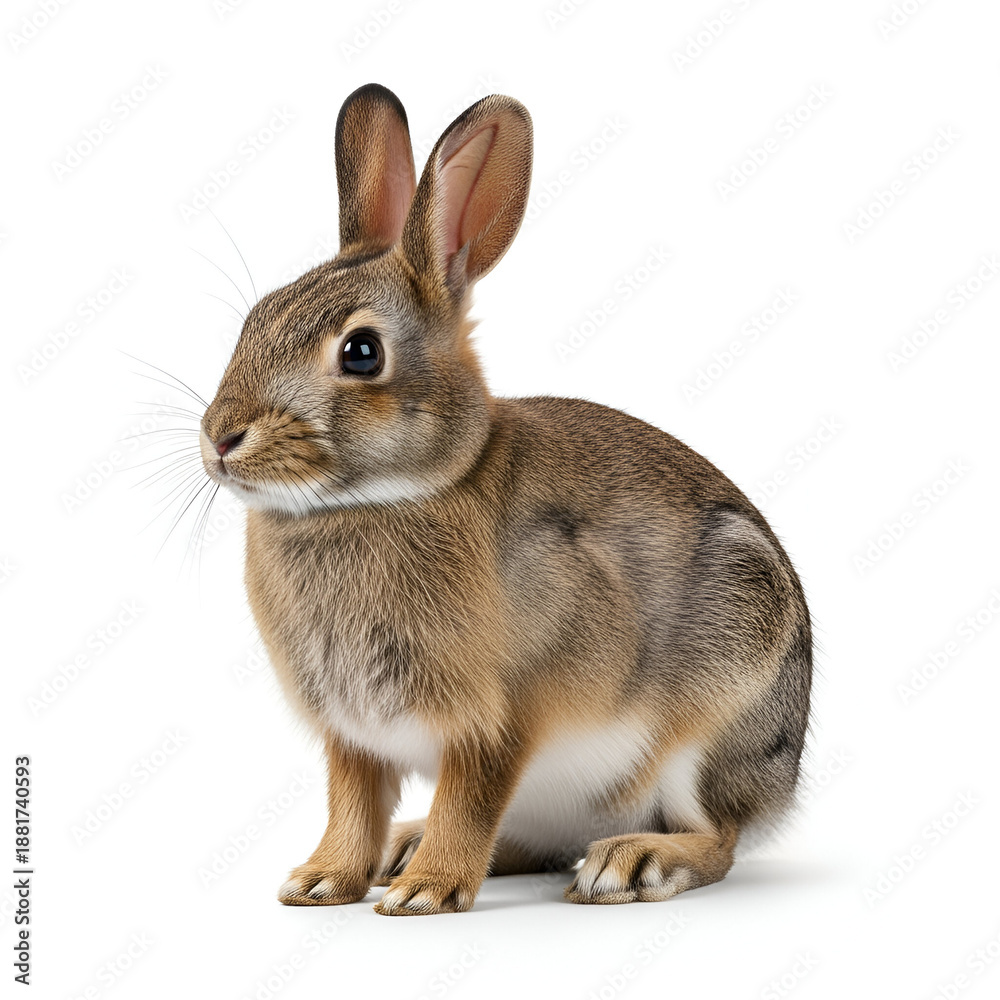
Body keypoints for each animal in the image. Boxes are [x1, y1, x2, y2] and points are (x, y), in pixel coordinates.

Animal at [198, 83, 812, 915]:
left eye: (361, 352)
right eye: (256, 317)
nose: (220, 438)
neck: (379, 498)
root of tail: (785, 781)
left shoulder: (499, 719)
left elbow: (470, 797)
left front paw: (425, 893)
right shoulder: (352, 735)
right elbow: (352, 802)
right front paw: (323, 879)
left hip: (720, 704)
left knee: (715, 837)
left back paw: (629, 862)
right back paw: (406, 845)